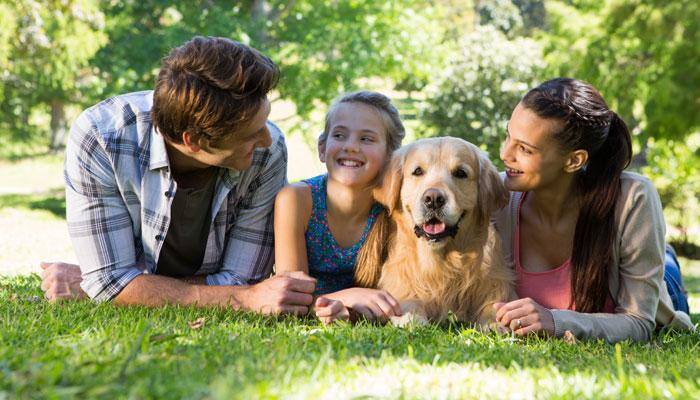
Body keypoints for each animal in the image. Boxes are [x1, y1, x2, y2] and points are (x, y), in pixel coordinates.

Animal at [356, 138, 516, 328]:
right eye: (418, 171)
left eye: (460, 173)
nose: (433, 199)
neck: (441, 262)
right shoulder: (399, 283)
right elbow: (408, 302)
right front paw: (412, 319)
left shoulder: (496, 282)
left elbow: (493, 306)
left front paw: (494, 323)